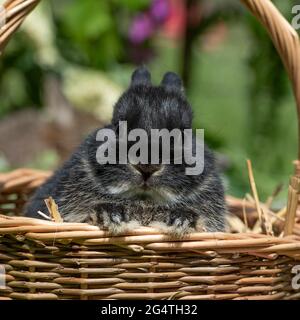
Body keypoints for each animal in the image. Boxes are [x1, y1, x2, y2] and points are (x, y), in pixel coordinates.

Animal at [24, 67, 225, 236]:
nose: (146, 166)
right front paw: (112, 215)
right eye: (118, 125)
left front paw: (181, 220)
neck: (144, 200)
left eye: (183, 132)